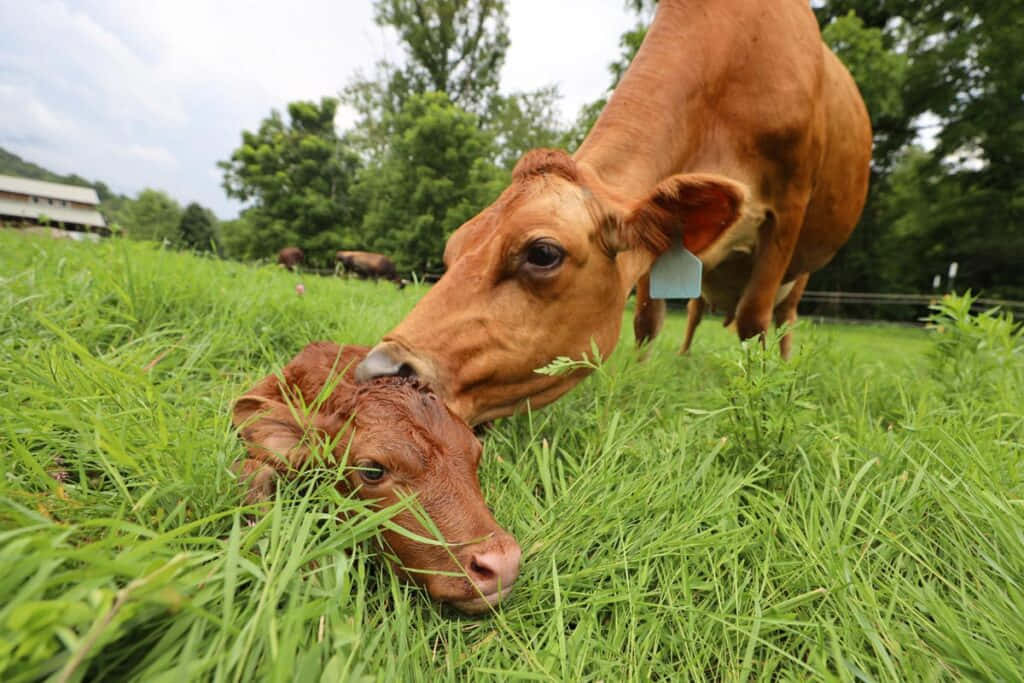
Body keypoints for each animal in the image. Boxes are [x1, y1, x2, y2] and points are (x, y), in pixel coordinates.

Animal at [356, 0, 868, 428]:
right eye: (452, 252)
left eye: (543, 253)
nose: (375, 370)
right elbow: (646, 322)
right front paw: (640, 382)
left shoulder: (789, 209)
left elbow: (753, 320)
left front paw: (757, 400)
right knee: (695, 311)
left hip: (800, 271)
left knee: (782, 319)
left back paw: (783, 371)